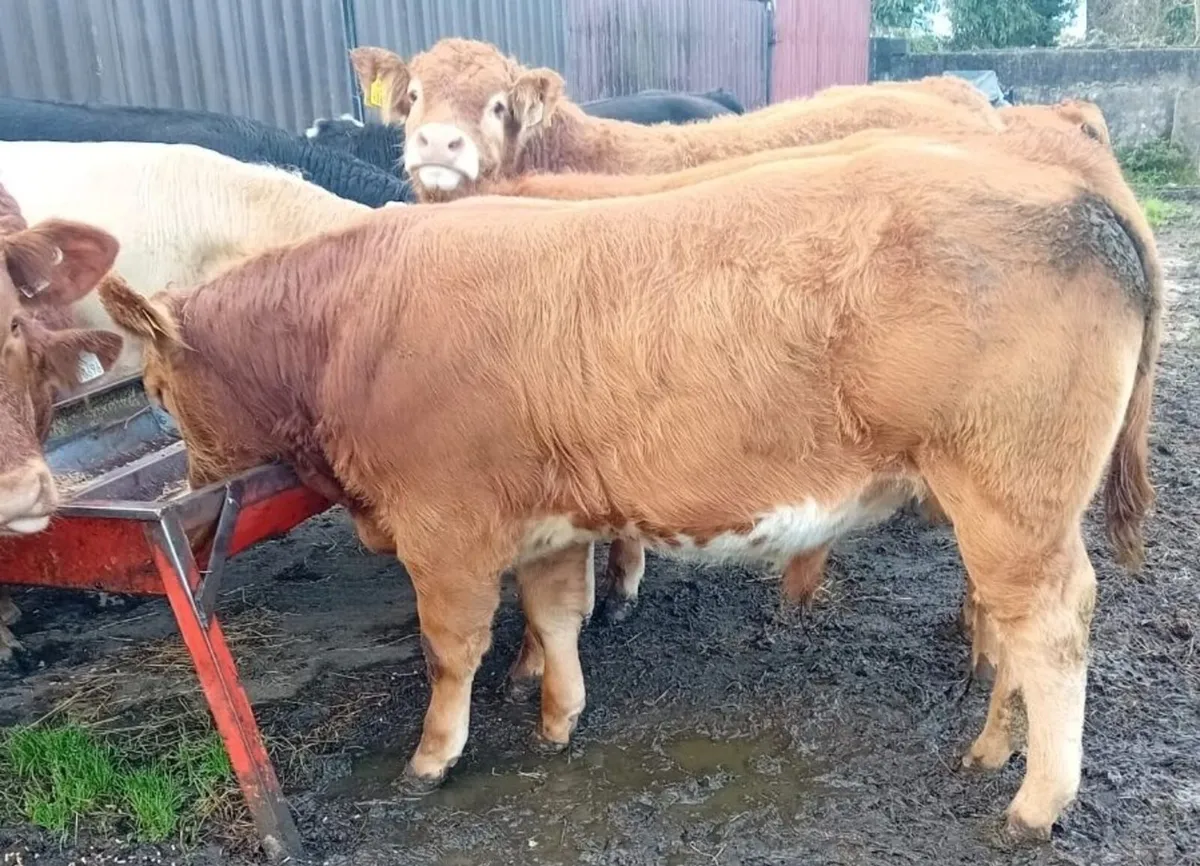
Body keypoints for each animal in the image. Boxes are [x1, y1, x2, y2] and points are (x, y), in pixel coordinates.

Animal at [100, 133, 1159, 840]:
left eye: (154, 388)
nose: (195, 490)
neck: (347, 320)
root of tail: (1076, 196)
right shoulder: (547, 520)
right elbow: (554, 616)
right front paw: (557, 717)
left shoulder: (445, 529)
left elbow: (452, 650)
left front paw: (433, 756)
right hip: (1004, 508)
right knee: (1015, 627)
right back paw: (992, 749)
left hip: (1012, 493)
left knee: (1053, 624)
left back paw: (1035, 801)